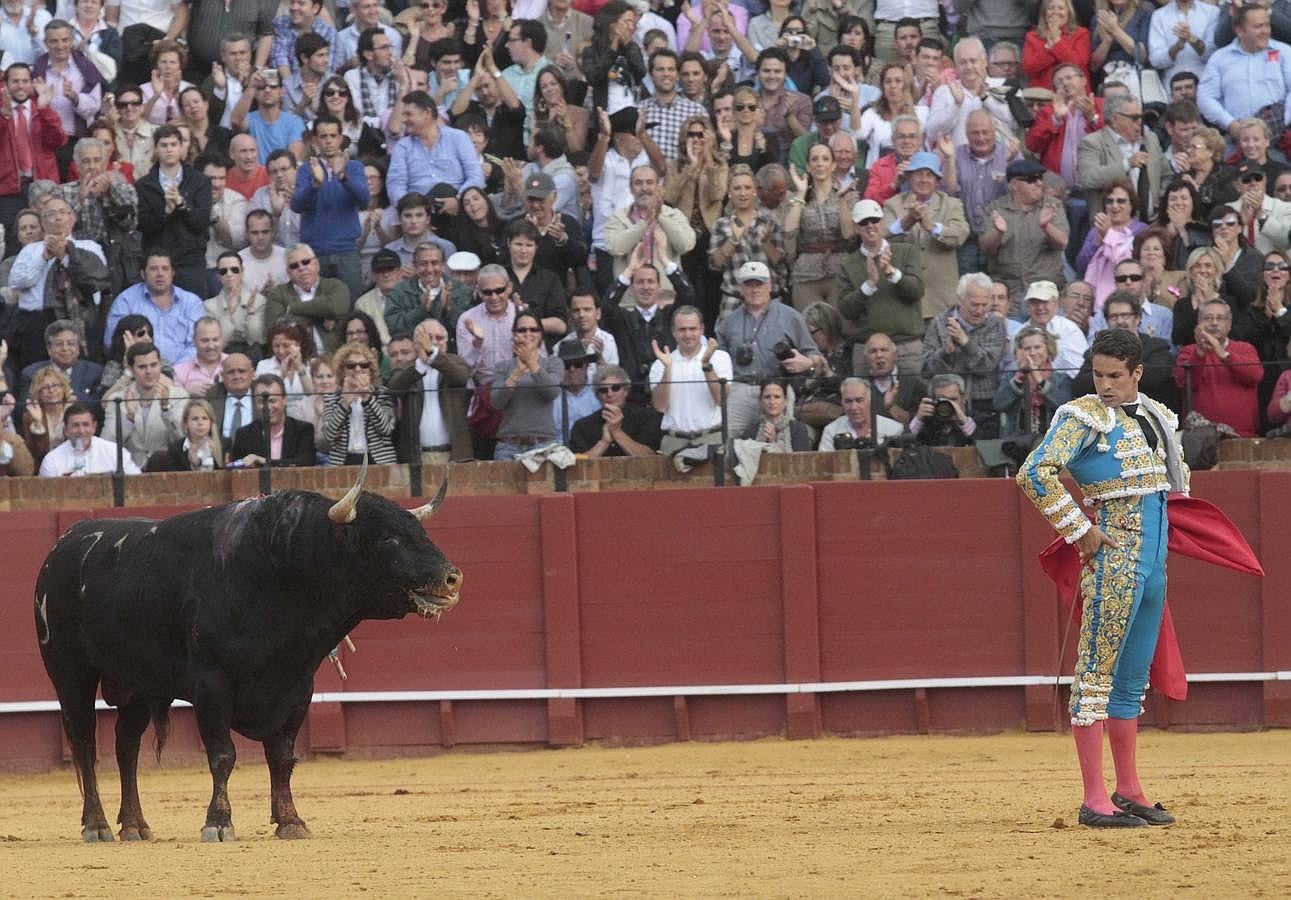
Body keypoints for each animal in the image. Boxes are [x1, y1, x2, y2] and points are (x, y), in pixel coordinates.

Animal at [31, 462, 469, 841]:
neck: (280, 572)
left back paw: (135, 826)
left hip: (137, 683)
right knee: (85, 743)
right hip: (70, 674)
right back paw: (97, 825)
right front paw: (218, 823)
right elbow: (223, 755)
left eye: (419, 530)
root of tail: (61, 548)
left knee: (126, 746)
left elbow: (282, 756)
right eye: (388, 537)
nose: (452, 578)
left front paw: (291, 821)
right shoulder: (211, 686)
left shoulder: (297, 687)